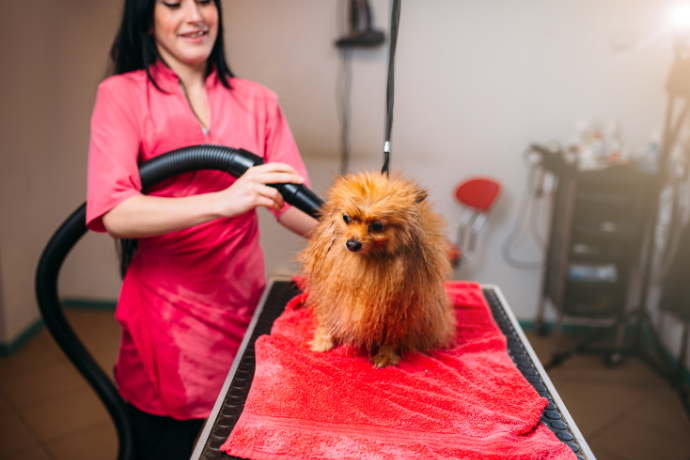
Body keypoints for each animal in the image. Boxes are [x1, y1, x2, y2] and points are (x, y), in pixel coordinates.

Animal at [298, 171, 454, 368]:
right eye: (346, 218)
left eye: (377, 226)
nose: (352, 244)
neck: (367, 259)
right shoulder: (330, 292)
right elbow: (327, 317)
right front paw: (323, 340)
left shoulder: (399, 308)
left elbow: (392, 336)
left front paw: (386, 355)